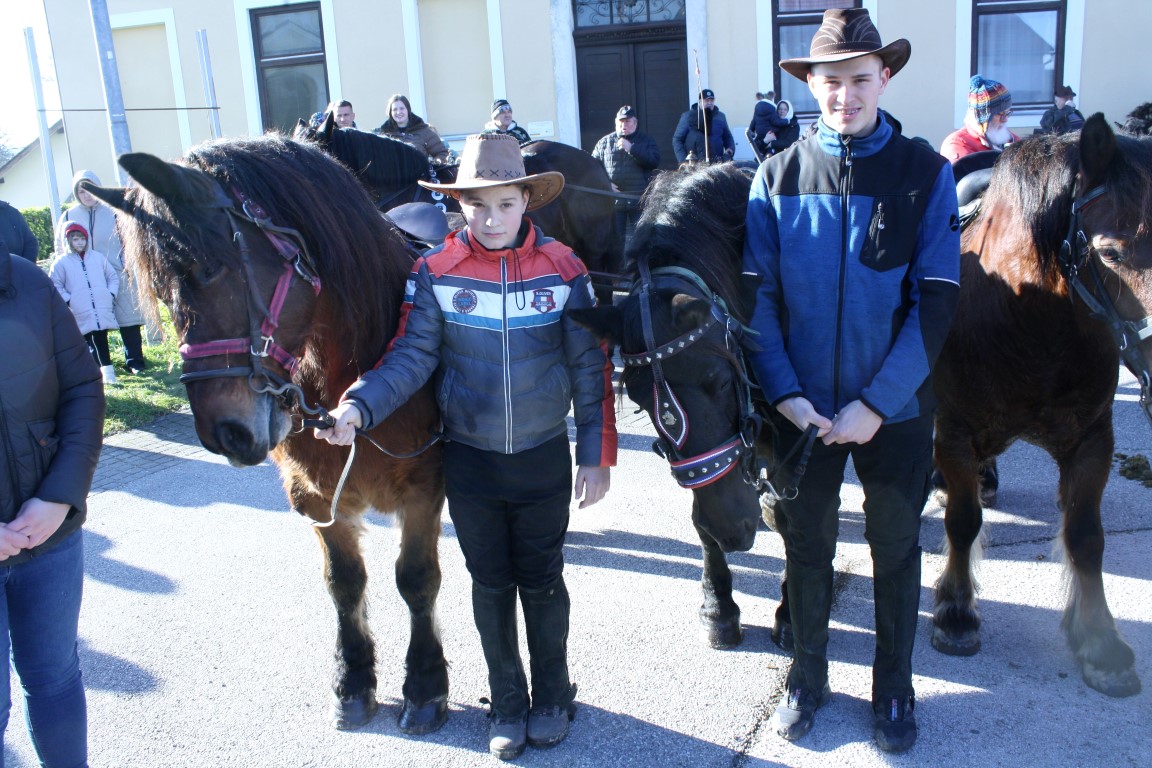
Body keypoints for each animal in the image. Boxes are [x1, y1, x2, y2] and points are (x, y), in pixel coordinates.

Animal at [84, 135, 453, 732]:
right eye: (160, 288)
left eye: (207, 268)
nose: (224, 433)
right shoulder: (318, 500)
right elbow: (344, 582)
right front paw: (353, 679)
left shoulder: (424, 489)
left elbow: (416, 579)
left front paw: (424, 685)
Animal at [930, 112, 1147, 695]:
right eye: (1112, 252)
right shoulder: (954, 430)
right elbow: (963, 520)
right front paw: (956, 610)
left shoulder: (1093, 439)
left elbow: (1086, 535)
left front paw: (1099, 639)